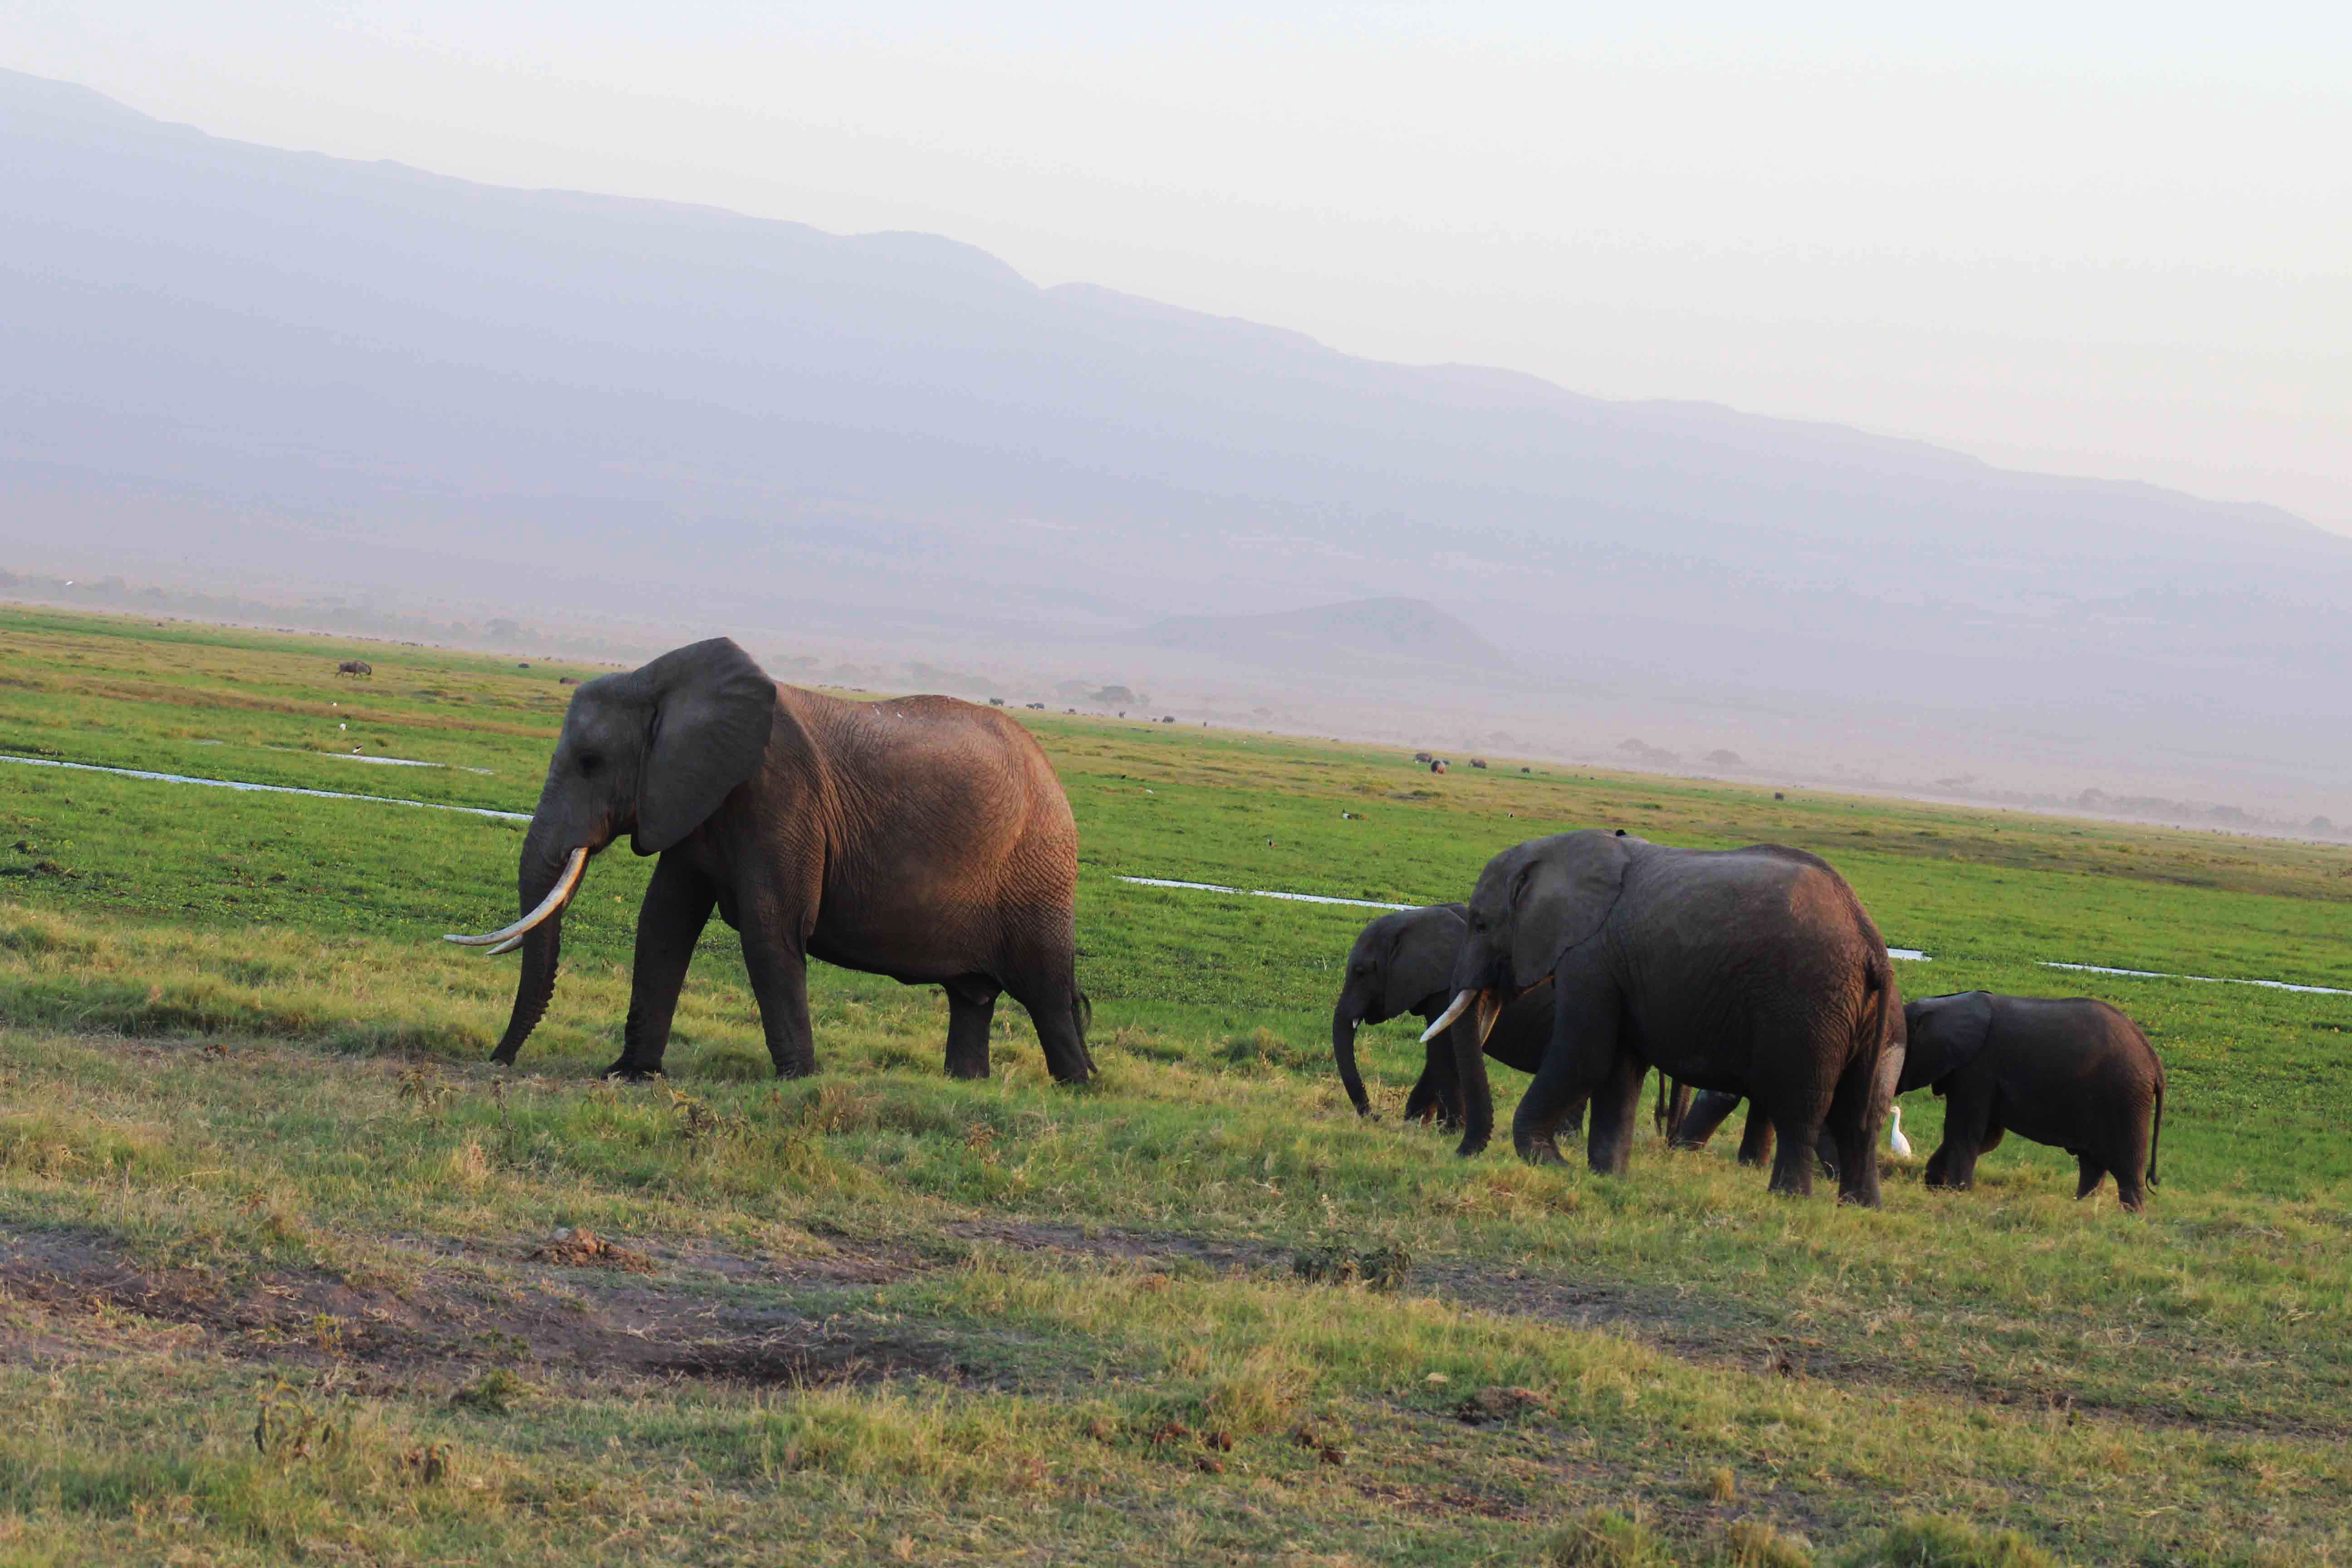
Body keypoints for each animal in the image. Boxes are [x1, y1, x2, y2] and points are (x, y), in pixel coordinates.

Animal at [445, 638, 1094, 1084]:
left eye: (590, 762)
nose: (498, 1062)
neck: (658, 682)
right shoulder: (691, 800)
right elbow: (662, 924)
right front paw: (627, 1075)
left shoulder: (781, 796)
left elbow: (770, 929)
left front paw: (797, 1082)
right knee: (973, 998)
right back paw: (965, 1086)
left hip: (1038, 870)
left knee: (1046, 991)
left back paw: (1078, 1087)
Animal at [1330, 904, 1554, 1127]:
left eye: (1361, 972)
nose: (1376, 1116)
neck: (1417, 917)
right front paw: (1417, 1124)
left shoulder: (1449, 988)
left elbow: (1444, 1052)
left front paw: (1448, 1129)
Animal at [1426, 831, 1896, 1202]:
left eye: (1481, 924)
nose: (1460, 1153)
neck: (1550, 850)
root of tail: (1871, 942)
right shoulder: (1617, 968)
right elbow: (1620, 1069)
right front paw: (1607, 1177)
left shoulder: (1590, 957)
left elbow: (1585, 1057)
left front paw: (1551, 1164)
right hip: (1865, 1015)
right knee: (1861, 1113)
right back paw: (1860, 1206)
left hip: (1809, 1007)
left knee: (1801, 1107)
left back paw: (1789, 1198)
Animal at [1900, 992, 2164, 1210]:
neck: (1944, 1004)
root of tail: (2154, 1060)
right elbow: (1988, 1137)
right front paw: (1933, 1184)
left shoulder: (1977, 1070)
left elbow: (1965, 1132)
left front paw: (1954, 1193)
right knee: (2093, 1164)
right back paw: (2083, 1207)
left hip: (2126, 1098)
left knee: (2126, 1167)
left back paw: (2130, 1217)